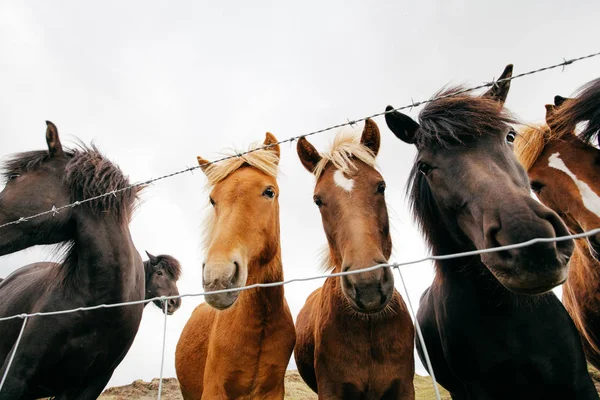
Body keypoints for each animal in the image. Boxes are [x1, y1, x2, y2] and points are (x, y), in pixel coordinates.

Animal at [173, 133, 296, 398]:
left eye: (269, 192)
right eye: (212, 200)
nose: (217, 278)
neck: (259, 326)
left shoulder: (273, 391)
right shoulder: (214, 389)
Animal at [292, 119, 414, 400]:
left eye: (381, 186)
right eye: (318, 200)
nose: (367, 285)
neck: (368, 327)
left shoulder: (404, 388)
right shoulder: (331, 390)